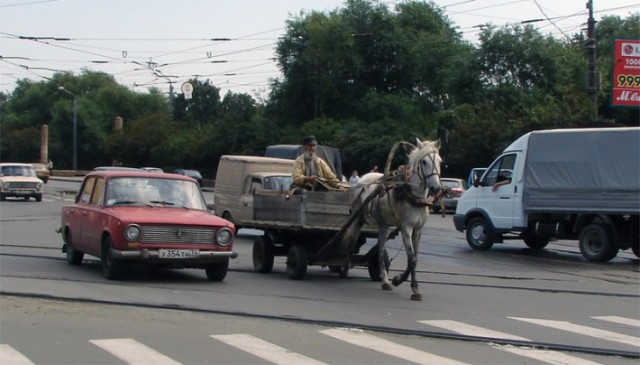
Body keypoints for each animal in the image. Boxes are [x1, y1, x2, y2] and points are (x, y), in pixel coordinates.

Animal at [352, 138, 442, 300]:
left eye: (440, 161)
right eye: (424, 161)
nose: (436, 188)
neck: (414, 197)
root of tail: (362, 178)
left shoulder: (418, 230)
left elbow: (414, 258)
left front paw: (404, 283)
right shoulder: (406, 228)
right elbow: (412, 258)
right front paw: (406, 284)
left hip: (383, 225)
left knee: (380, 249)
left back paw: (384, 279)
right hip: (359, 218)